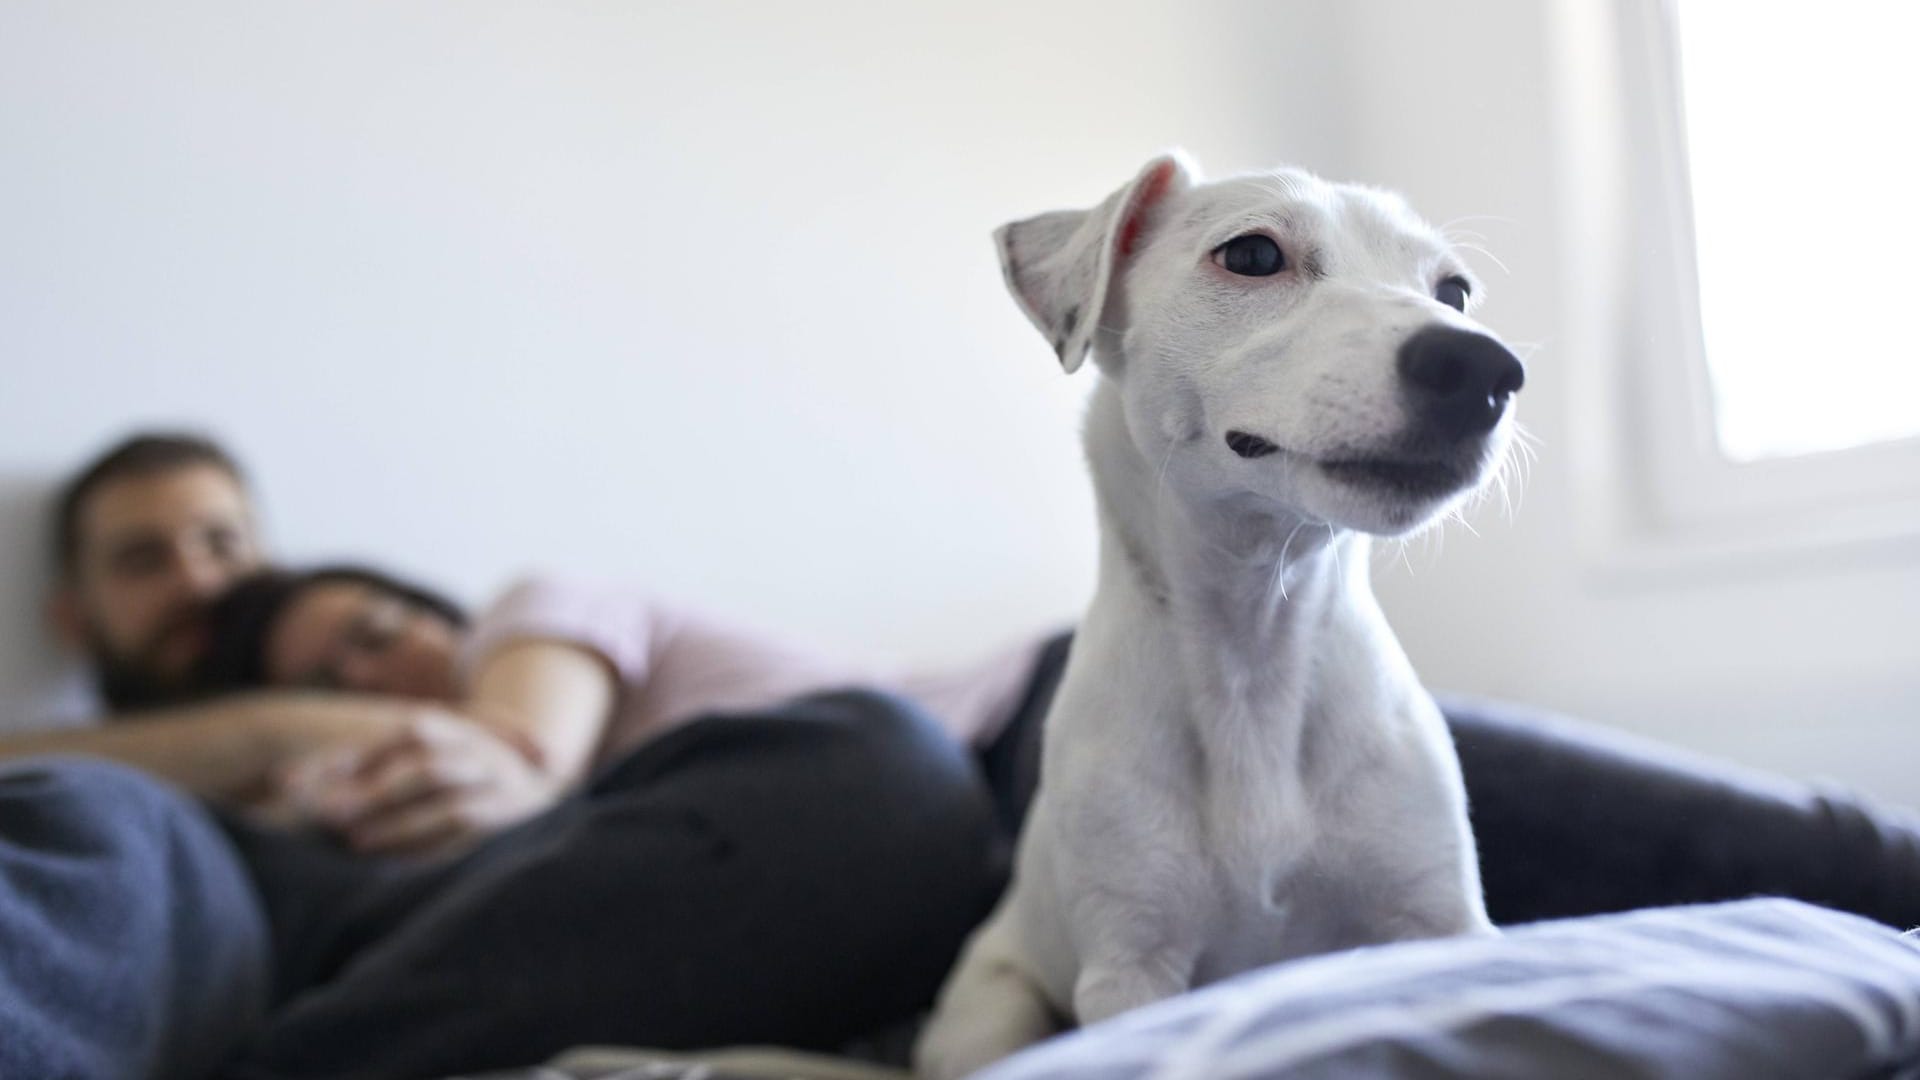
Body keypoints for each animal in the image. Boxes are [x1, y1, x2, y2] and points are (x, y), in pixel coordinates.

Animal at [913, 153, 1528, 1076]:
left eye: (1453, 292)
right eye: (1251, 255)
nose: (1485, 370)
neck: (1256, 644)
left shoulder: (1439, 920)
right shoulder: (1132, 970)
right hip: (993, 1013)